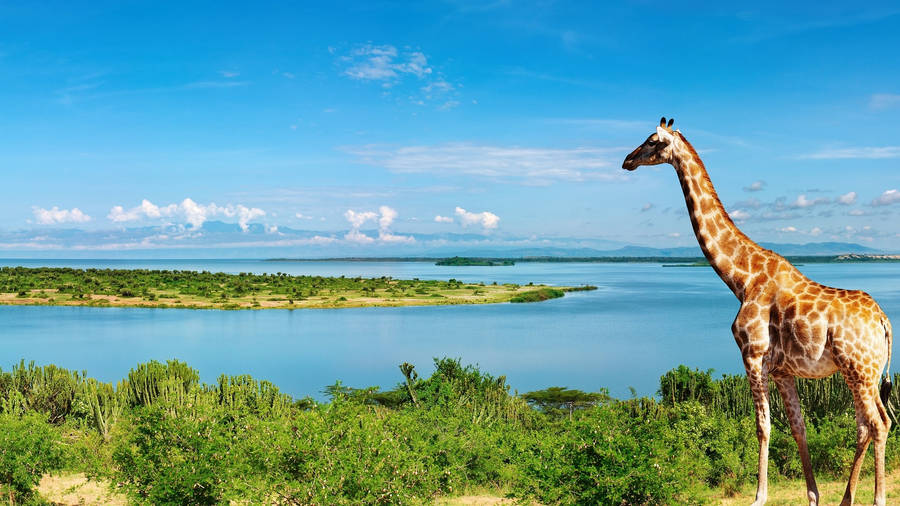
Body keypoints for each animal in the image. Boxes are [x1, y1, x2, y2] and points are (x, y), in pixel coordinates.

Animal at [622, 117, 894, 506]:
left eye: (650, 141)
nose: (626, 161)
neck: (741, 277)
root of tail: (884, 321)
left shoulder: (753, 354)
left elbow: (763, 426)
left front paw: (759, 496)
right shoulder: (782, 370)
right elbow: (798, 427)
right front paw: (813, 496)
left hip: (860, 369)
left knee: (879, 423)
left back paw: (877, 498)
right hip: (857, 373)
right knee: (865, 425)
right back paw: (846, 499)